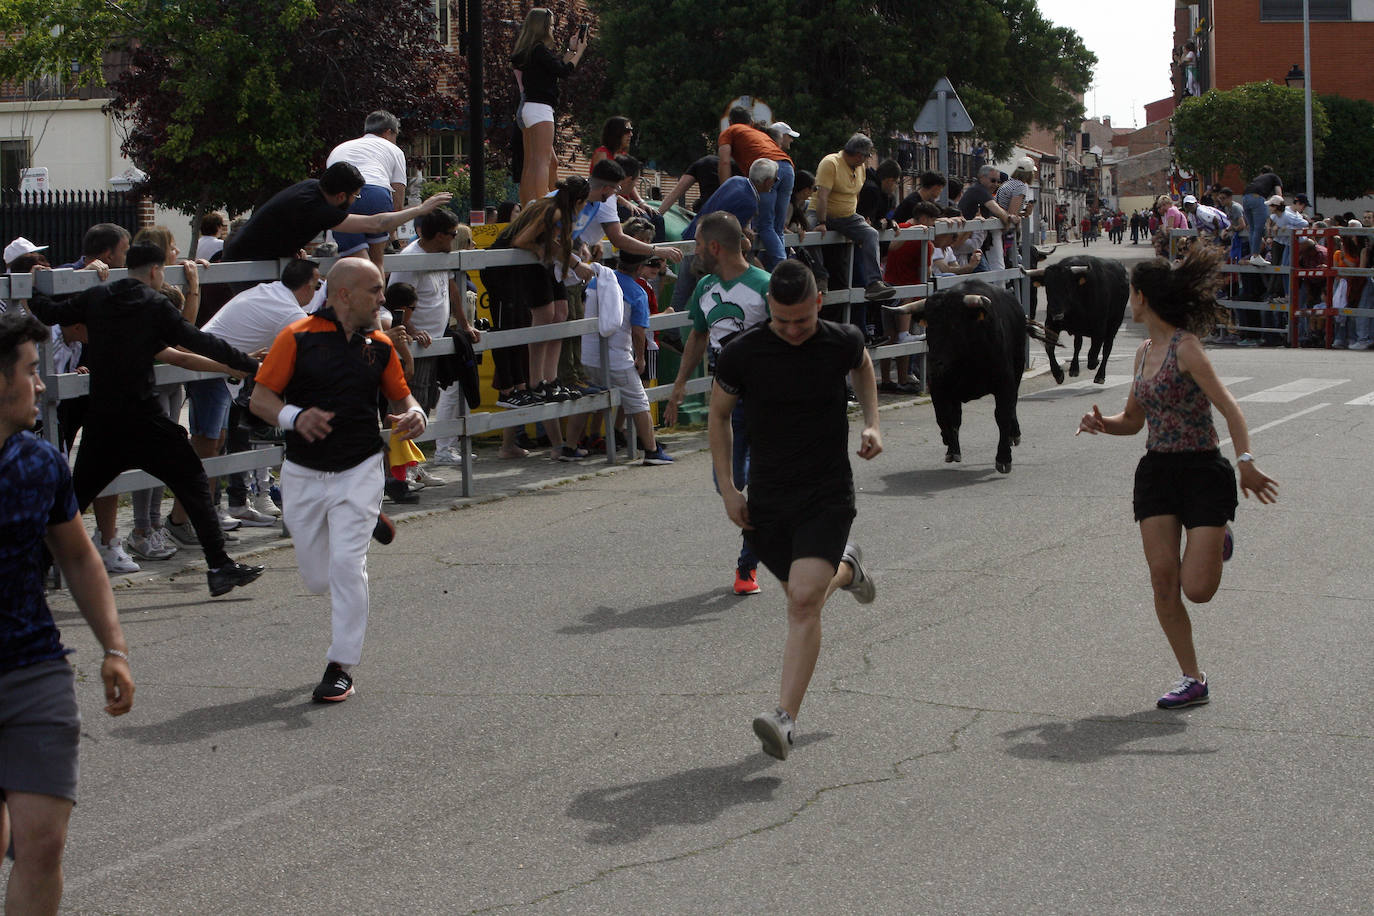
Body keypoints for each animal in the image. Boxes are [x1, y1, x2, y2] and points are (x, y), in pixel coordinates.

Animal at [879, 282, 1049, 472]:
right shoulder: (938, 387)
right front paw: (951, 446)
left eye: (954, 325)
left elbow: (1002, 415)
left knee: (1012, 407)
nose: (934, 363)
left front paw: (1004, 458)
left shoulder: (1005, 383)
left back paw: (1014, 434)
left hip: (1018, 369)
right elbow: (944, 417)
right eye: (929, 325)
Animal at [1027, 256, 1132, 384]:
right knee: (1078, 344)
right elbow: (1049, 347)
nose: (1056, 311)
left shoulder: (1099, 328)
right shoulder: (1051, 325)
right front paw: (1058, 374)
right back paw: (1074, 369)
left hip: (1114, 324)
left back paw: (1100, 375)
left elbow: (1093, 353)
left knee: (1107, 347)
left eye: (1067, 286)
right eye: (1047, 287)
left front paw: (1095, 363)